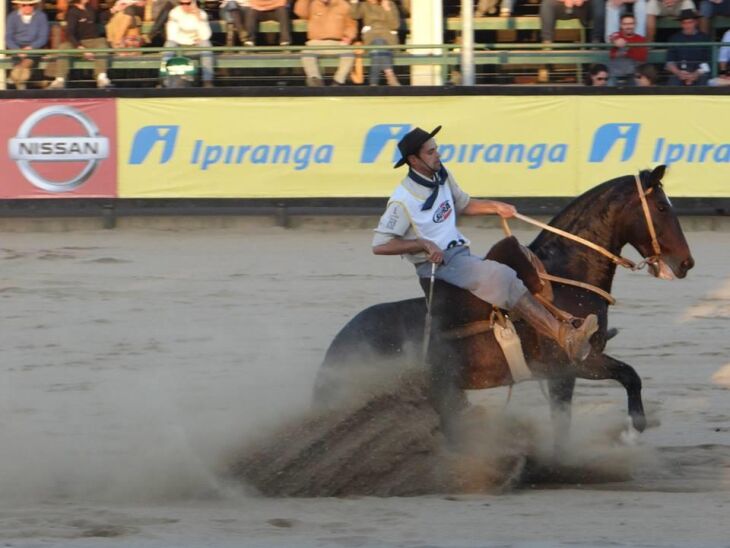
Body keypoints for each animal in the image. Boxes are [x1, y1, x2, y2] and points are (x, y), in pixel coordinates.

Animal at [310, 166, 692, 446]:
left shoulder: (564, 376)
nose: (686, 263)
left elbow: (567, 418)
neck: (565, 278)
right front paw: (632, 431)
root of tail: (337, 346)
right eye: (661, 207)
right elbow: (630, 375)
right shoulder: (575, 363)